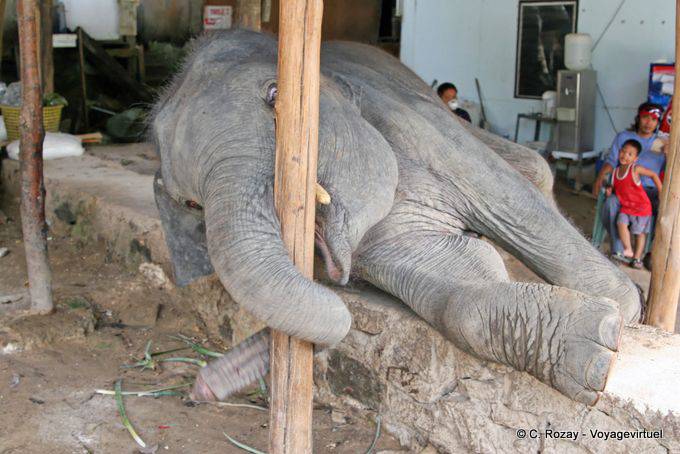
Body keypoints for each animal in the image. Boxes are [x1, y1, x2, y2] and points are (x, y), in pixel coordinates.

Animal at [150, 29, 642, 406]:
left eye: (275, 97)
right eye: (191, 204)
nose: (202, 387)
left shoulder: (410, 120)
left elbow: (513, 204)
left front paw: (626, 311)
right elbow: (457, 282)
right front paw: (596, 352)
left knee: (533, 171)